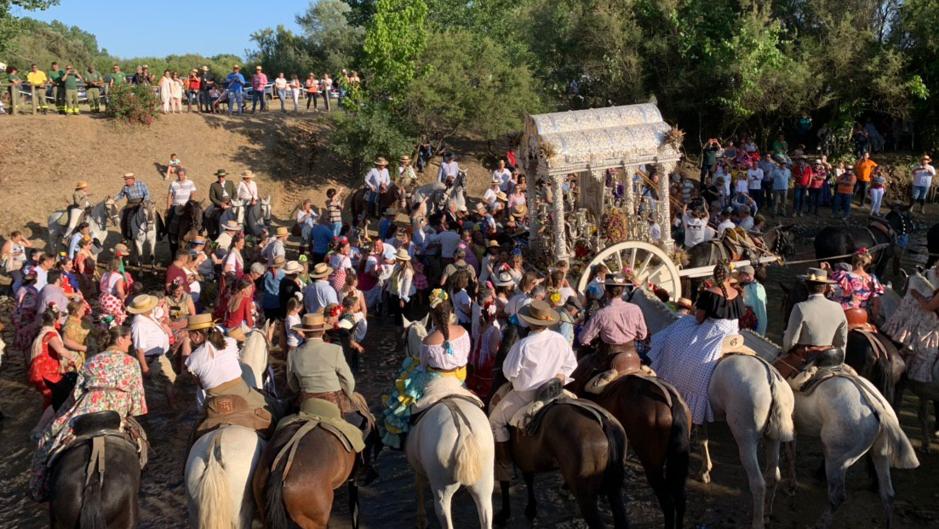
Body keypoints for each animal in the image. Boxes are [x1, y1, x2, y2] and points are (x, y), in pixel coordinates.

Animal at [400, 316, 496, 528]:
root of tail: (464, 431)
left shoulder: (416, 465)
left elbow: (418, 484)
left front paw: (421, 518)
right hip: (484, 486)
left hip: (442, 492)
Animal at [700, 352, 796, 529]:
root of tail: (772, 378)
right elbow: (703, 438)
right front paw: (705, 471)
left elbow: (700, 439)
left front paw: (704, 472)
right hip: (773, 439)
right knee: (773, 476)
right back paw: (766, 514)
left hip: (746, 440)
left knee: (758, 484)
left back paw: (757, 522)